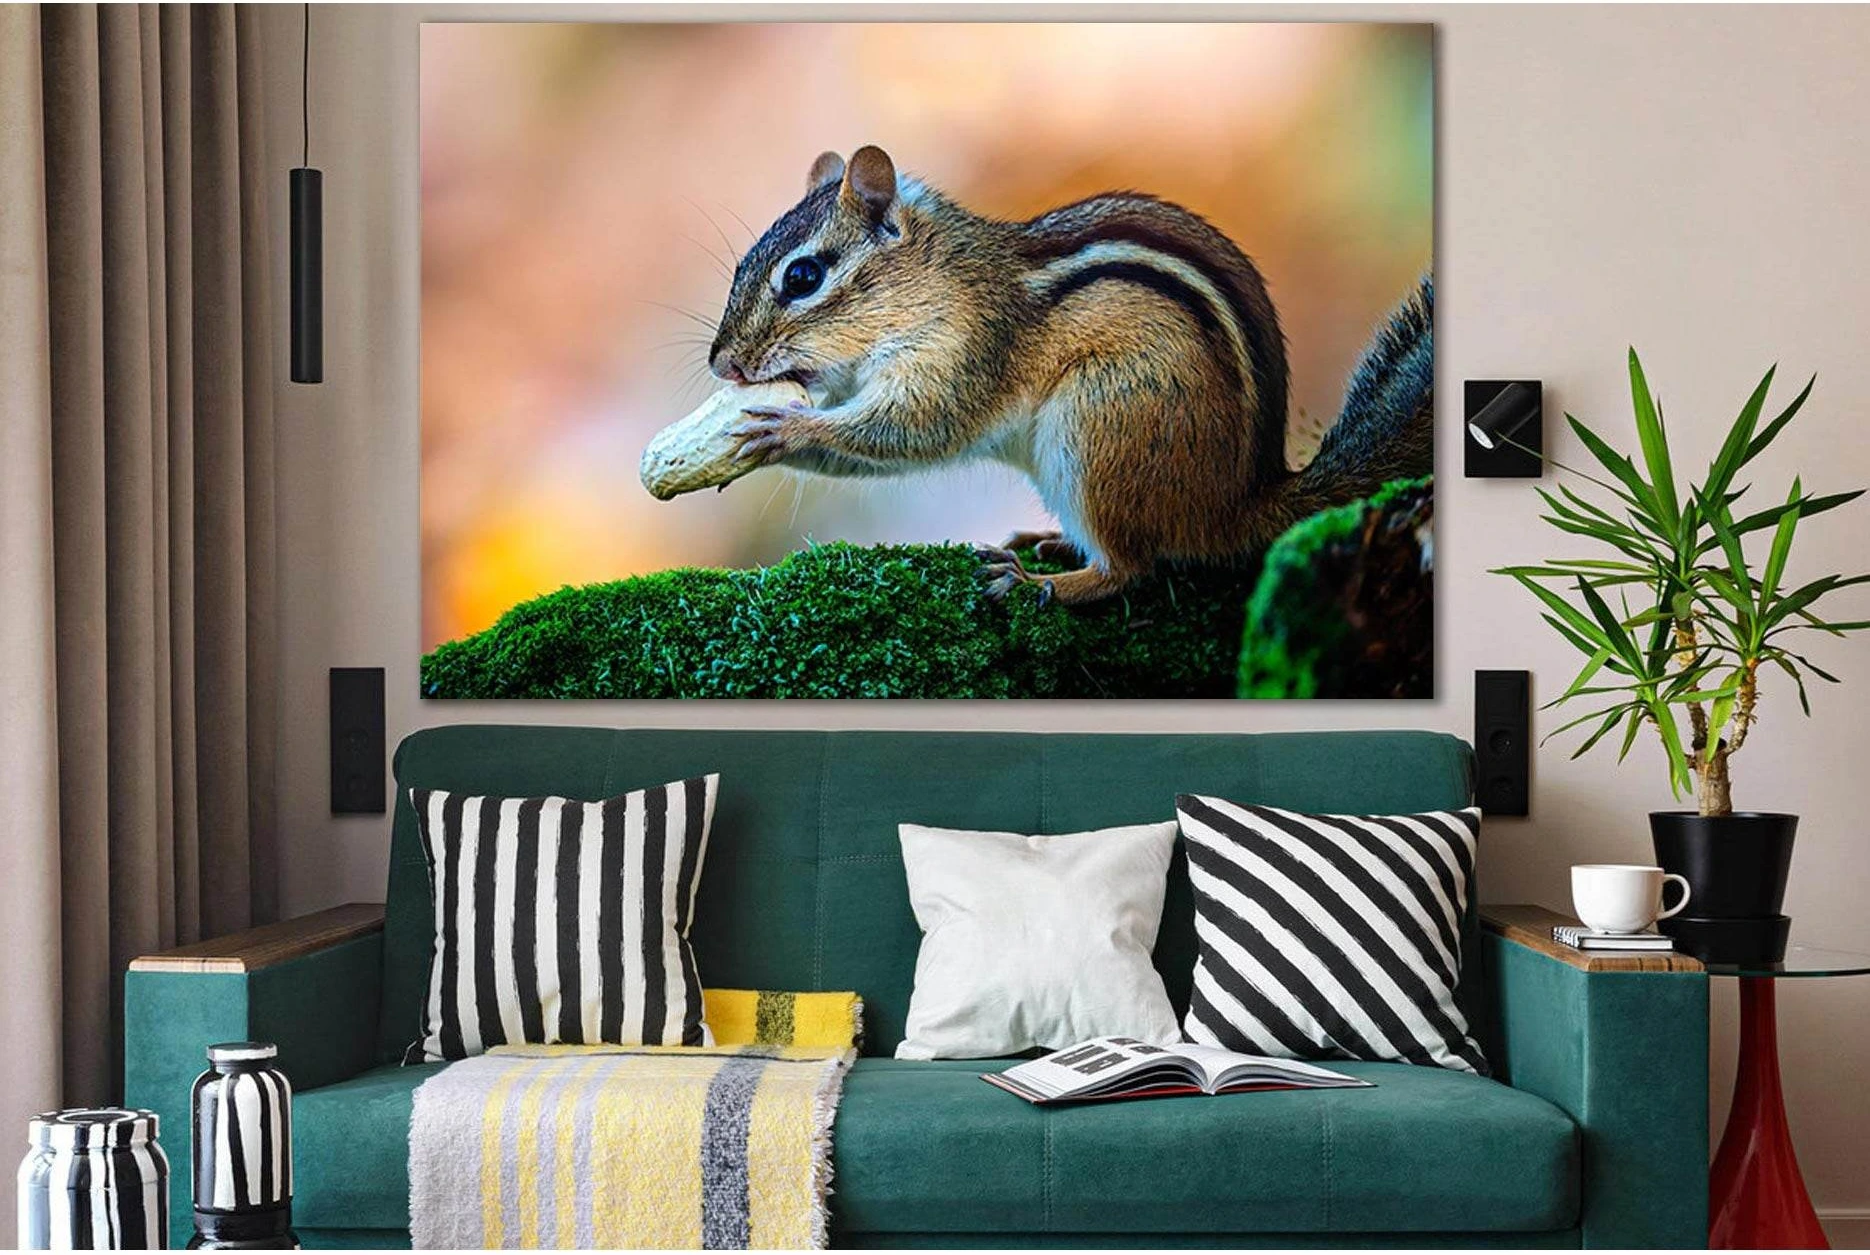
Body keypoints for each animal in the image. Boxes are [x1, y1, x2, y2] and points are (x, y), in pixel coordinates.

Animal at [708, 145, 1433, 607]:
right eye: (742, 266)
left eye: (804, 276)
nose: (723, 363)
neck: (939, 282)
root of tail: (1244, 501)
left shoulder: (965, 355)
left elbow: (914, 430)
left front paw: (788, 429)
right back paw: (1050, 544)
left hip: (1096, 425)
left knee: (1130, 569)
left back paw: (1044, 583)